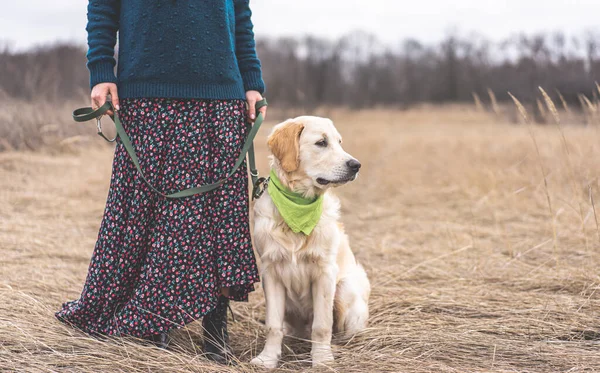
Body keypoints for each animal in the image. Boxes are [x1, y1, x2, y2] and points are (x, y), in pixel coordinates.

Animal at [250, 117, 370, 368]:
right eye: (321, 142)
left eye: (339, 142)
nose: (356, 165)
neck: (297, 205)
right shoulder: (270, 271)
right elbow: (273, 325)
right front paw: (268, 358)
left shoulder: (325, 272)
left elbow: (322, 325)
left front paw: (322, 358)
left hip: (345, 288)